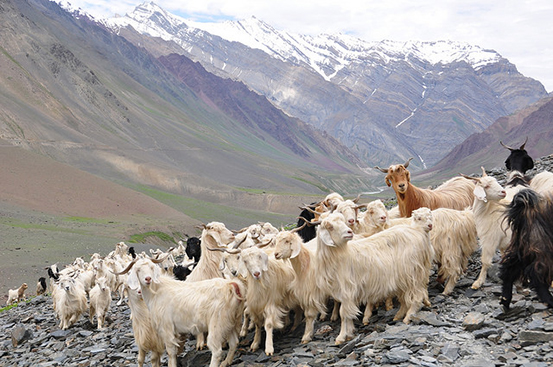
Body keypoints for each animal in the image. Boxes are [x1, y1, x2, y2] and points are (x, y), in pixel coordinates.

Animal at [312, 210, 434, 344]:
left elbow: (344, 314)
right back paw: (398, 316)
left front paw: (341, 337)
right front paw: (349, 333)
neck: (343, 254)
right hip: (404, 279)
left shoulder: (347, 290)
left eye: (344, 222)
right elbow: (348, 314)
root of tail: (418, 231)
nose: (349, 232)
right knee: (405, 299)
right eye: (330, 227)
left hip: (413, 274)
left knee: (416, 297)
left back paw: (408, 317)